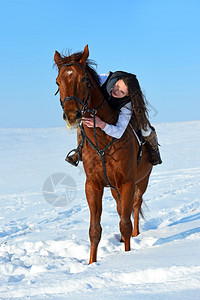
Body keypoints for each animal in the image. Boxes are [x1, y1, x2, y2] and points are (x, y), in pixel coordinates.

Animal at [54, 45, 152, 264]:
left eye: (84, 79)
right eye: (57, 81)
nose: (72, 115)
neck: (103, 142)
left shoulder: (127, 182)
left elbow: (125, 224)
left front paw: (128, 255)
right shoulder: (93, 185)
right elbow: (94, 230)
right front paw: (92, 263)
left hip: (141, 181)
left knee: (135, 206)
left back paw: (136, 234)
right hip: (115, 188)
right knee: (121, 208)